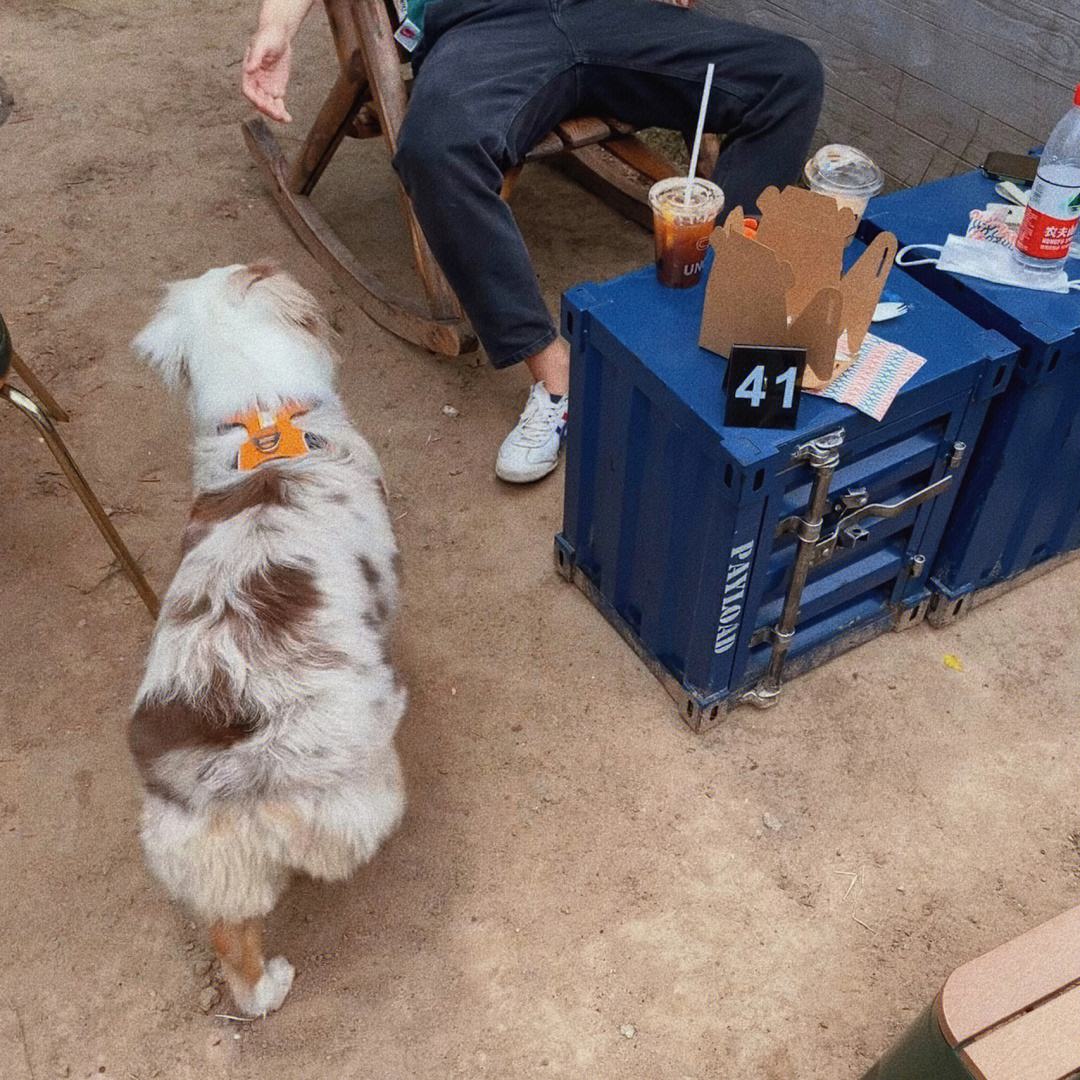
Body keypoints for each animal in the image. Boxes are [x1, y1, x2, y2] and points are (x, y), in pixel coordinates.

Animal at [129, 261, 406, 1010]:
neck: (264, 416)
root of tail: (235, 754)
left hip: (207, 856)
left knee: (233, 943)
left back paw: (267, 991)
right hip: (358, 789)